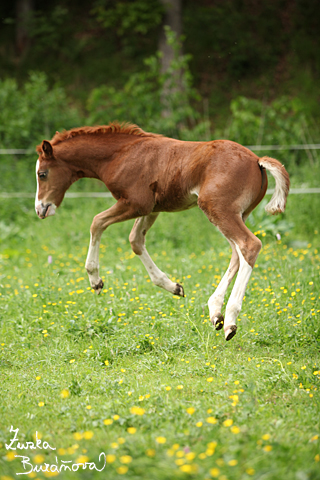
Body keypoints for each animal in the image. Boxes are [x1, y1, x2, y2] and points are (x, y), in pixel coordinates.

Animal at [35, 124, 290, 342]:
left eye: (42, 174)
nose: (40, 209)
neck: (120, 155)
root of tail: (257, 161)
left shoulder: (135, 203)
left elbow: (96, 222)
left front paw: (95, 280)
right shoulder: (151, 208)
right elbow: (135, 240)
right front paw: (173, 286)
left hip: (218, 209)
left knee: (249, 245)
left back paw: (230, 320)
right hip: (238, 214)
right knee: (237, 253)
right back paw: (215, 312)